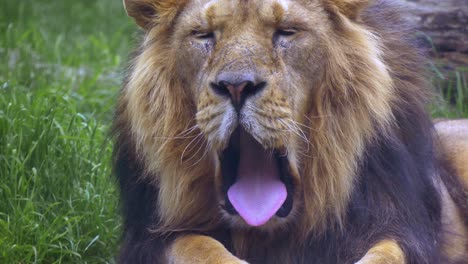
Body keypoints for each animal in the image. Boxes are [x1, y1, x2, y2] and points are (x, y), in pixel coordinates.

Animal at [114, 0, 468, 262]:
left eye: (286, 32)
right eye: (204, 36)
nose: (236, 86)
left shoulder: (400, 228)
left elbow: (386, 254)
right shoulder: (149, 238)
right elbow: (198, 246)